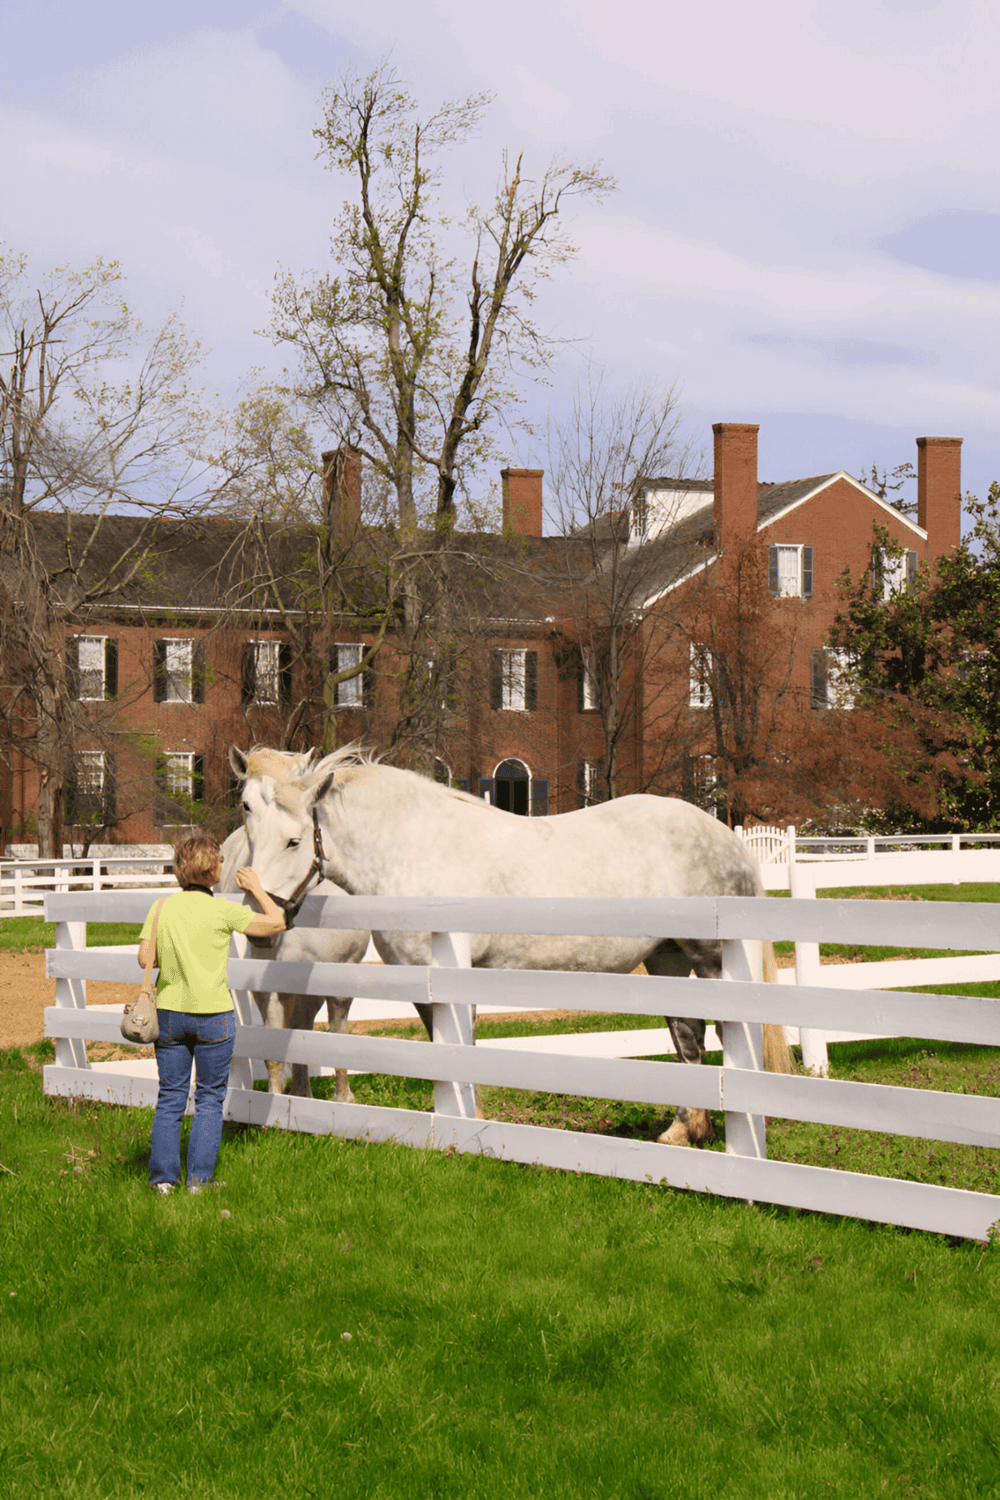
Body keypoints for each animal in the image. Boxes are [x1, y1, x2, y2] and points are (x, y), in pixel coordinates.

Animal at [222, 746, 370, 1103]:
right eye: (245, 804)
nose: (260, 913)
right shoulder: (268, 987)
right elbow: (274, 1051)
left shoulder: (338, 975)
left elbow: (333, 1037)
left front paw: (342, 1099)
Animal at [238, 745, 784, 1146]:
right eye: (247, 818)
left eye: (293, 840)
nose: (257, 923)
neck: (412, 847)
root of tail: (726, 837)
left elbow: (460, 1055)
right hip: (667, 959)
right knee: (689, 1037)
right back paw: (682, 1130)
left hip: (711, 960)